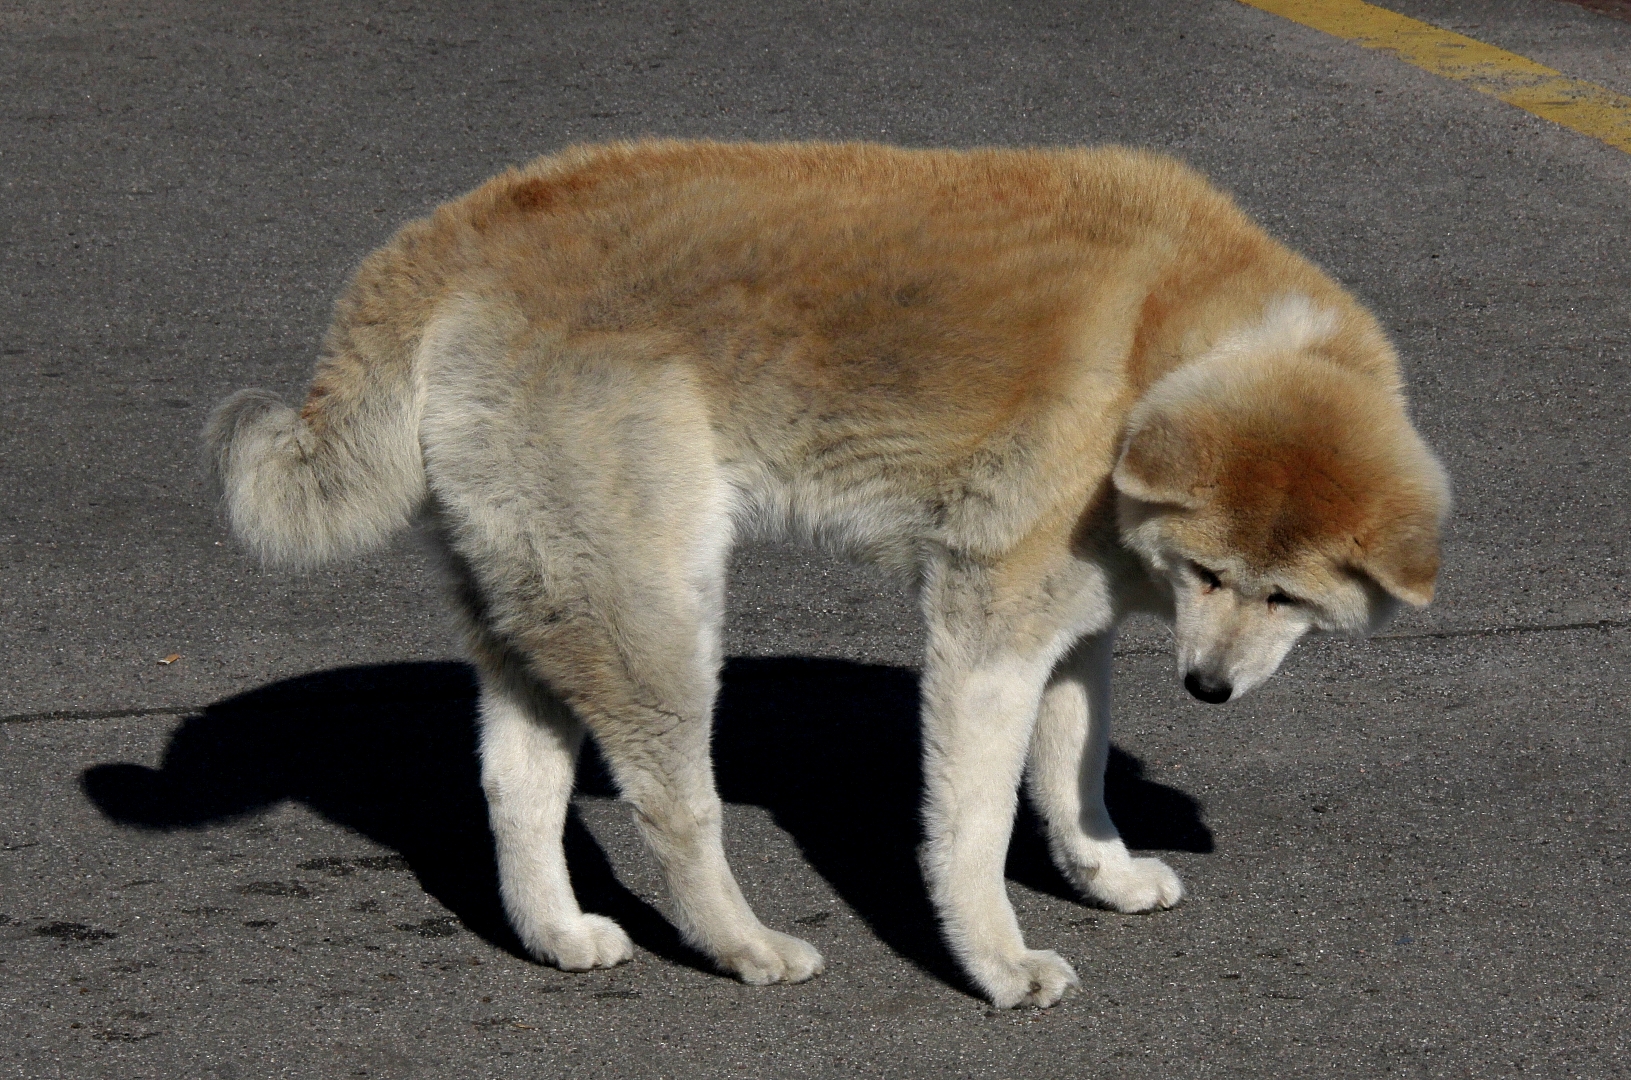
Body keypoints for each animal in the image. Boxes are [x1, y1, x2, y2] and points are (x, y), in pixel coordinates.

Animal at [207, 139, 1454, 1011]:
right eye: (1209, 574)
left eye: (1284, 597)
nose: (1207, 690)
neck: (1164, 341)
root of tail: (458, 231)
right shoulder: (984, 632)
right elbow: (969, 830)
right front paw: (995, 964)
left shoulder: (1070, 632)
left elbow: (1072, 778)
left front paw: (1101, 872)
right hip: (654, 614)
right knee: (673, 806)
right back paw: (740, 944)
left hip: (542, 603)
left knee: (515, 786)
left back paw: (555, 933)